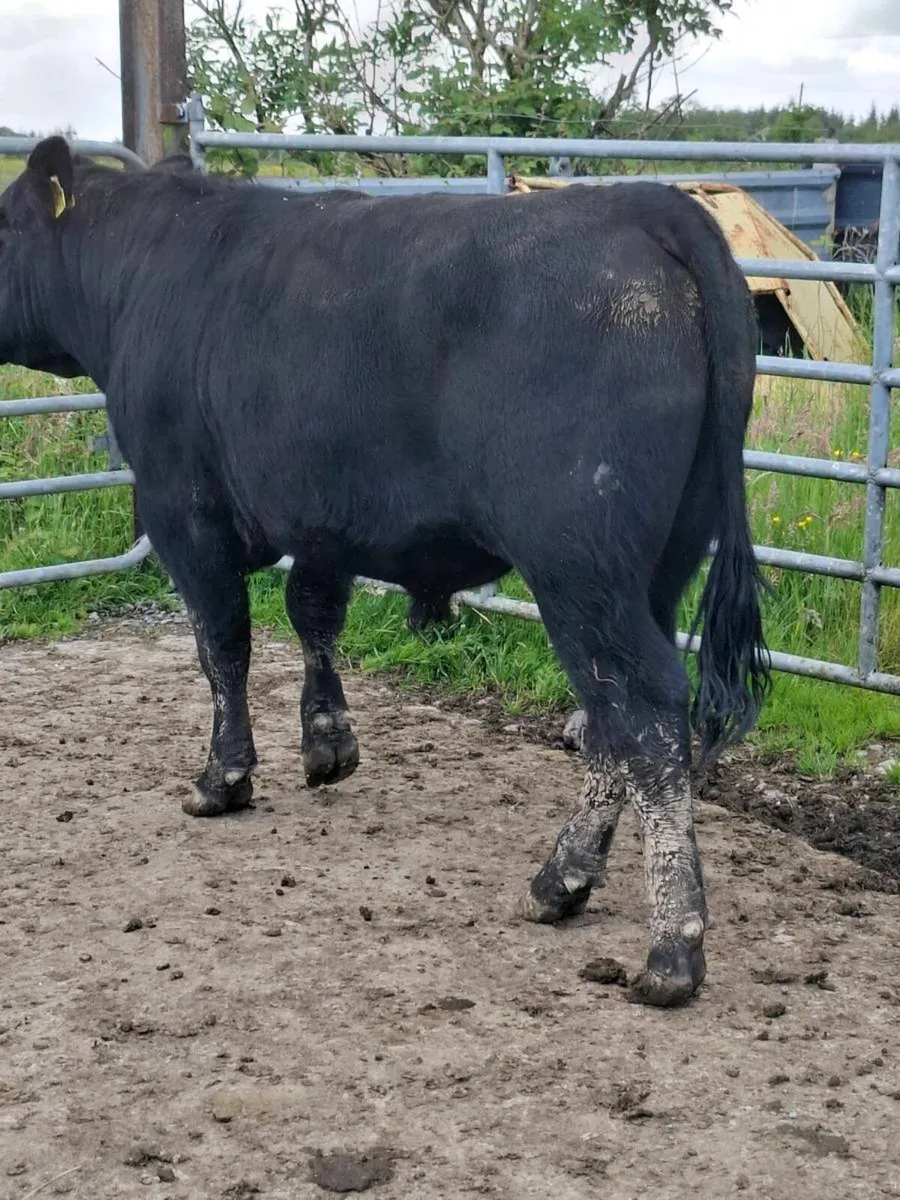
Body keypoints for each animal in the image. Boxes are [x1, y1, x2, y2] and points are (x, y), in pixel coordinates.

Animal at [0, 136, 770, 1007]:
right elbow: (312, 612)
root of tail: (644, 203)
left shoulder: (180, 508)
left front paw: (222, 778)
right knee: (614, 720)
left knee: (642, 712)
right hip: (659, 566)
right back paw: (558, 883)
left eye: (0, 226)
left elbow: (221, 644)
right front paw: (327, 743)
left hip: (579, 564)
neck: (144, 268)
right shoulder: (323, 515)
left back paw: (670, 947)